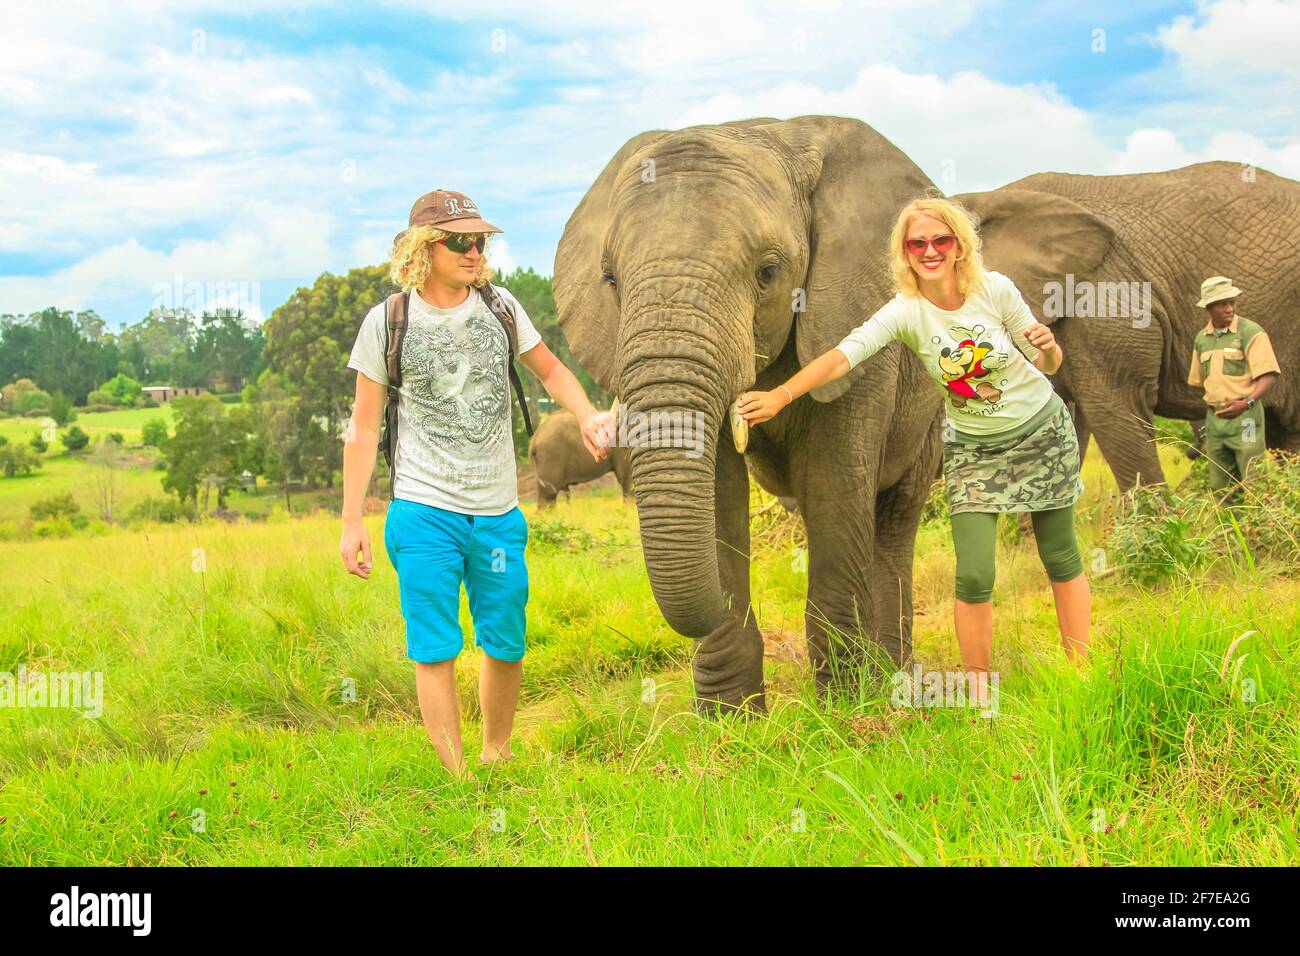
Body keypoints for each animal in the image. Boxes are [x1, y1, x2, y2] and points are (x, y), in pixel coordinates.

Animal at [553, 113, 941, 712]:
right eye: (611, 281)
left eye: (768, 272)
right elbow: (719, 491)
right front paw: (730, 719)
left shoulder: (858, 323)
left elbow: (834, 483)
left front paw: (846, 709)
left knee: (894, 517)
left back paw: (892, 680)